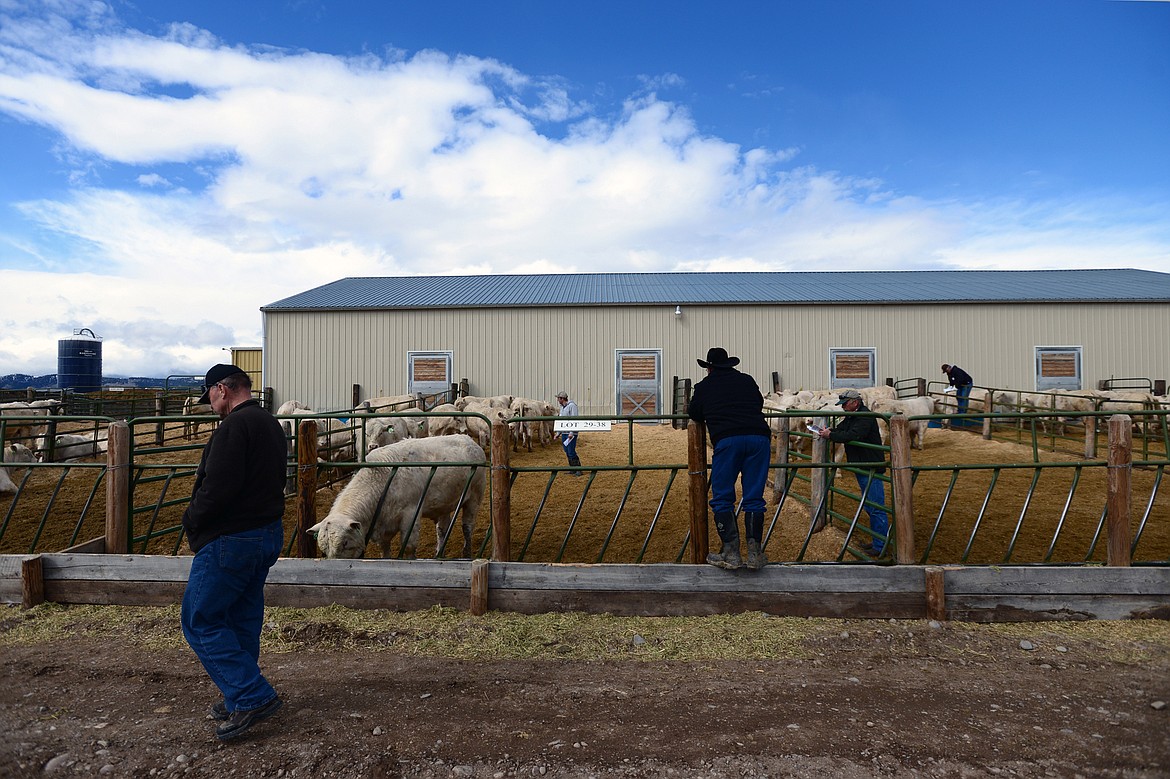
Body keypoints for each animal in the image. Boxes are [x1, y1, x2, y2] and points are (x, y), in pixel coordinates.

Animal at [308, 432, 486, 554]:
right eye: (323, 550)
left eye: (345, 543)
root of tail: (469, 440)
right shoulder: (384, 525)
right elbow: (384, 550)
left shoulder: (411, 515)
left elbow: (408, 548)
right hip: (444, 503)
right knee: (442, 529)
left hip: (475, 496)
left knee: (467, 526)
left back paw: (466, 553)